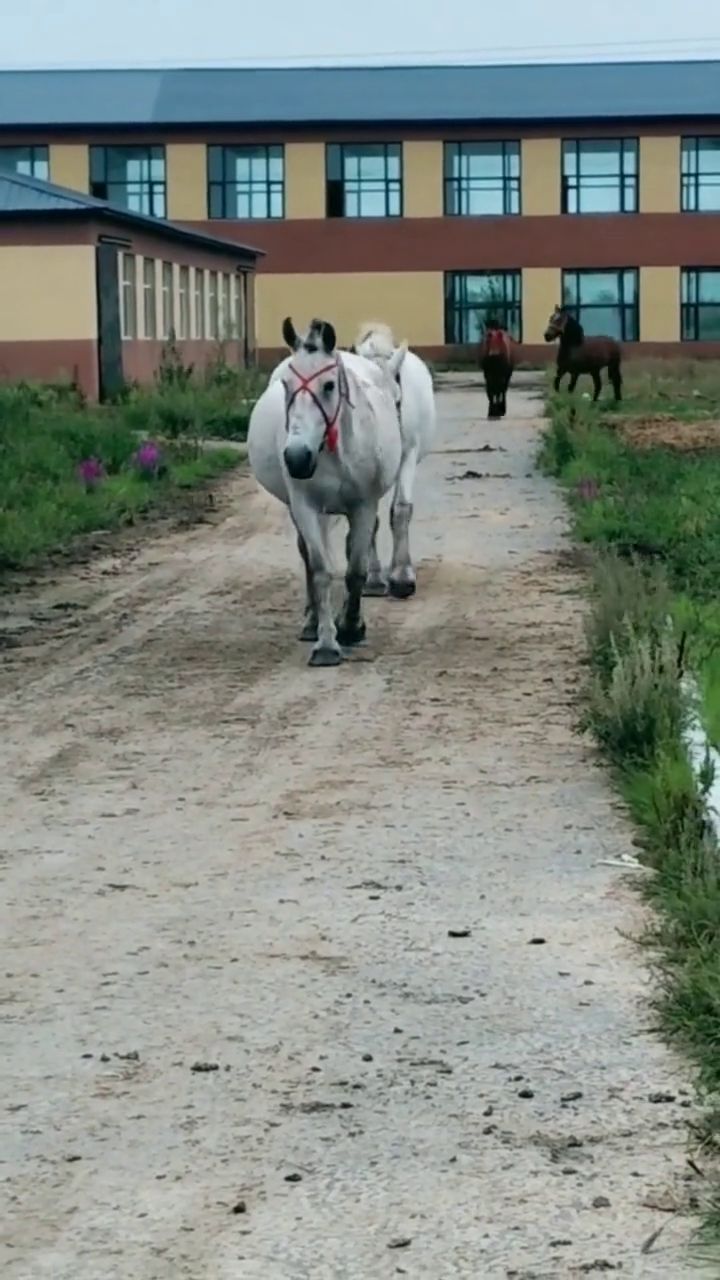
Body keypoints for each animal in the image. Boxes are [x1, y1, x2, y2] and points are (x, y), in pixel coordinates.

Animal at [245, 317, 404, 670]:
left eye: (329, 385)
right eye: (287, 385)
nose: (296, 457)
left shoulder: (363, 505)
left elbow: (355, 569)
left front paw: (351, 627)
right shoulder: (305, 506)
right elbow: (319, 568)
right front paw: (327, 642)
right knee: (307, 555)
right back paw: (311, 622)